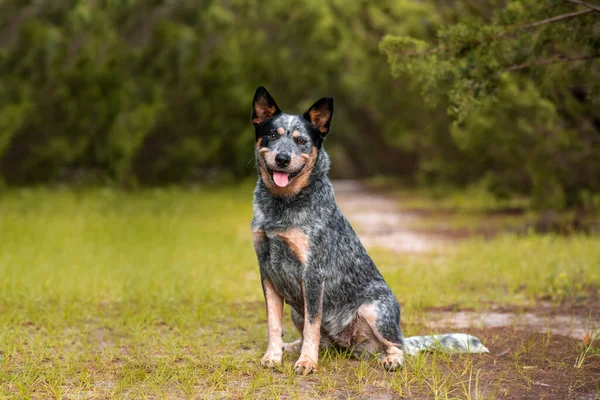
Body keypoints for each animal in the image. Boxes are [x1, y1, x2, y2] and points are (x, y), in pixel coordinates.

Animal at [248, 86, 488, 376]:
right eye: (272, 135)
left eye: (301, 141)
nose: (282, 159)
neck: (281, 206)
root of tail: (346, 344)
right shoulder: (267, 271)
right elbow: (274, 324)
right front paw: (273, 356)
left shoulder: (313, 274)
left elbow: (313, 325)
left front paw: (307, 362)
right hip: (298, 310)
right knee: (317, 338)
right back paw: (292, 347)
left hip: (375, 310)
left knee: (397, 345)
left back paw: (391, 359)